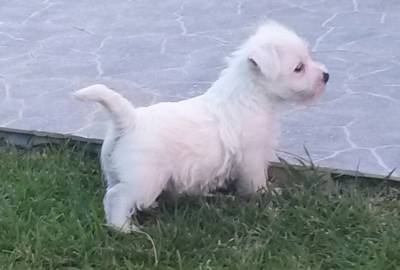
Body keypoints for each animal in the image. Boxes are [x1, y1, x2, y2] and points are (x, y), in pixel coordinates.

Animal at [74, 21, 328, 232]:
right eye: (298, 68)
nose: (326, 76)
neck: (250, 93)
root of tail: (129, 121)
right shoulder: (252, 155)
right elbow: (256, 179)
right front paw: (267, 194)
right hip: (144, 179)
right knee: (116, 197)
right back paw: (123, 228)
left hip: (118, 171)